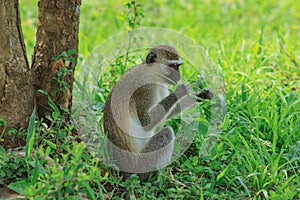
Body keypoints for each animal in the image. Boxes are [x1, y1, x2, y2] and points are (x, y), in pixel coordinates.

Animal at [103, 45, 213, 181]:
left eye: (178, 66)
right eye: (172, 66)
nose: (178, 76)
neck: (153, 75)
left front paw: (201, 95)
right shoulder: (145, 88)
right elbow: (146, 123)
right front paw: (180, 91)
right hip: (141, 164)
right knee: (167, 133)